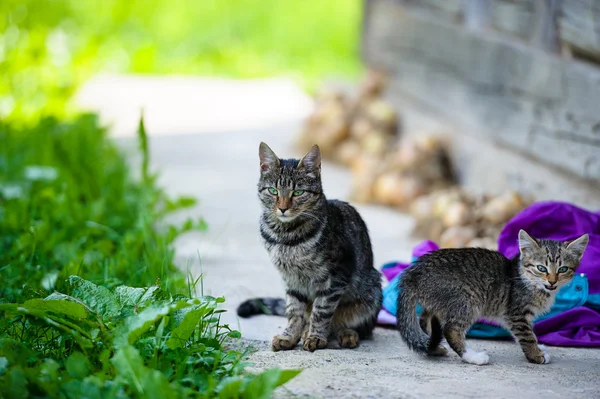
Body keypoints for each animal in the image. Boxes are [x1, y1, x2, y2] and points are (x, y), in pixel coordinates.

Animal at [237, 143, 382, 354]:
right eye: (273, 191)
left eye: (298, 193)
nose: (283, 208)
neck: (286, 236)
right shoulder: (292, 280)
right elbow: (294, 312)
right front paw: (290, 337)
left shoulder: (335, 276)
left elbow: (321, 312)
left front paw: (315, 337)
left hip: (372, 290)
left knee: (357, 326)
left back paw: (346, 334)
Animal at [396, 231, 588, 366]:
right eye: (541, 268)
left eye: (563, 269)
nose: (552, 281)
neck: (527, 279)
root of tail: (412, 273)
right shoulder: (517, 314)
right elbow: (527, 336)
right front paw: (535, 354)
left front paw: (539, 348)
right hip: (468, 299)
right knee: (450, 329)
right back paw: (473, 357)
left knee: (424, 320)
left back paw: (433, 347)